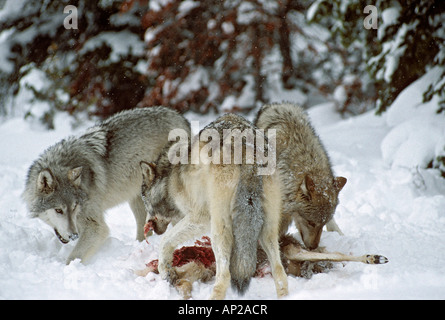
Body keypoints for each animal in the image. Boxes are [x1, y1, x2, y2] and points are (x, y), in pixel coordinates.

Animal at [22, 106, 190, 264]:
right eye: (58, 210)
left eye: (74, 207)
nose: (74, 236)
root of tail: (180, 116)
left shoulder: (95, 227)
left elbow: (73, 258)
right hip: (138, 200)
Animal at [140, 113, 288, 300]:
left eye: (144, 202)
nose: (148, 225)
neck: (170, 179)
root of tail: (249, 148)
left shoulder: (200, 217)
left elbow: (165, 241)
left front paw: (165, 270)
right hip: (267, 230)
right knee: (280, 272)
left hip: (218, 229)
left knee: (225, 275)